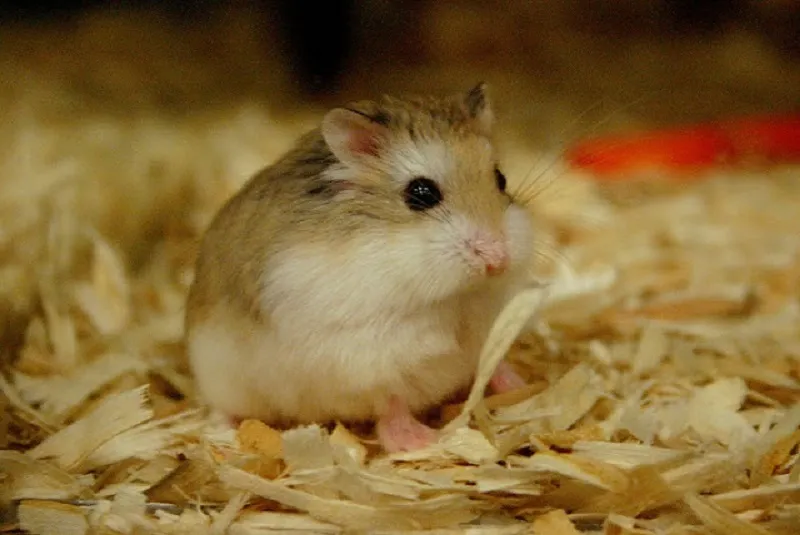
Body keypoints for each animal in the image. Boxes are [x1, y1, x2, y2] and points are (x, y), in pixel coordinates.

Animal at [185, 83, 534, 453]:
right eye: (421, 193)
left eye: (500, 178)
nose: (498, 259)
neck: (455, 295)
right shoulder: (367, 358)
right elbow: (392, 398)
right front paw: (421, 441)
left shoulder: (488, 323)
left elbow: (491, 358)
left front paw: (522, 384)